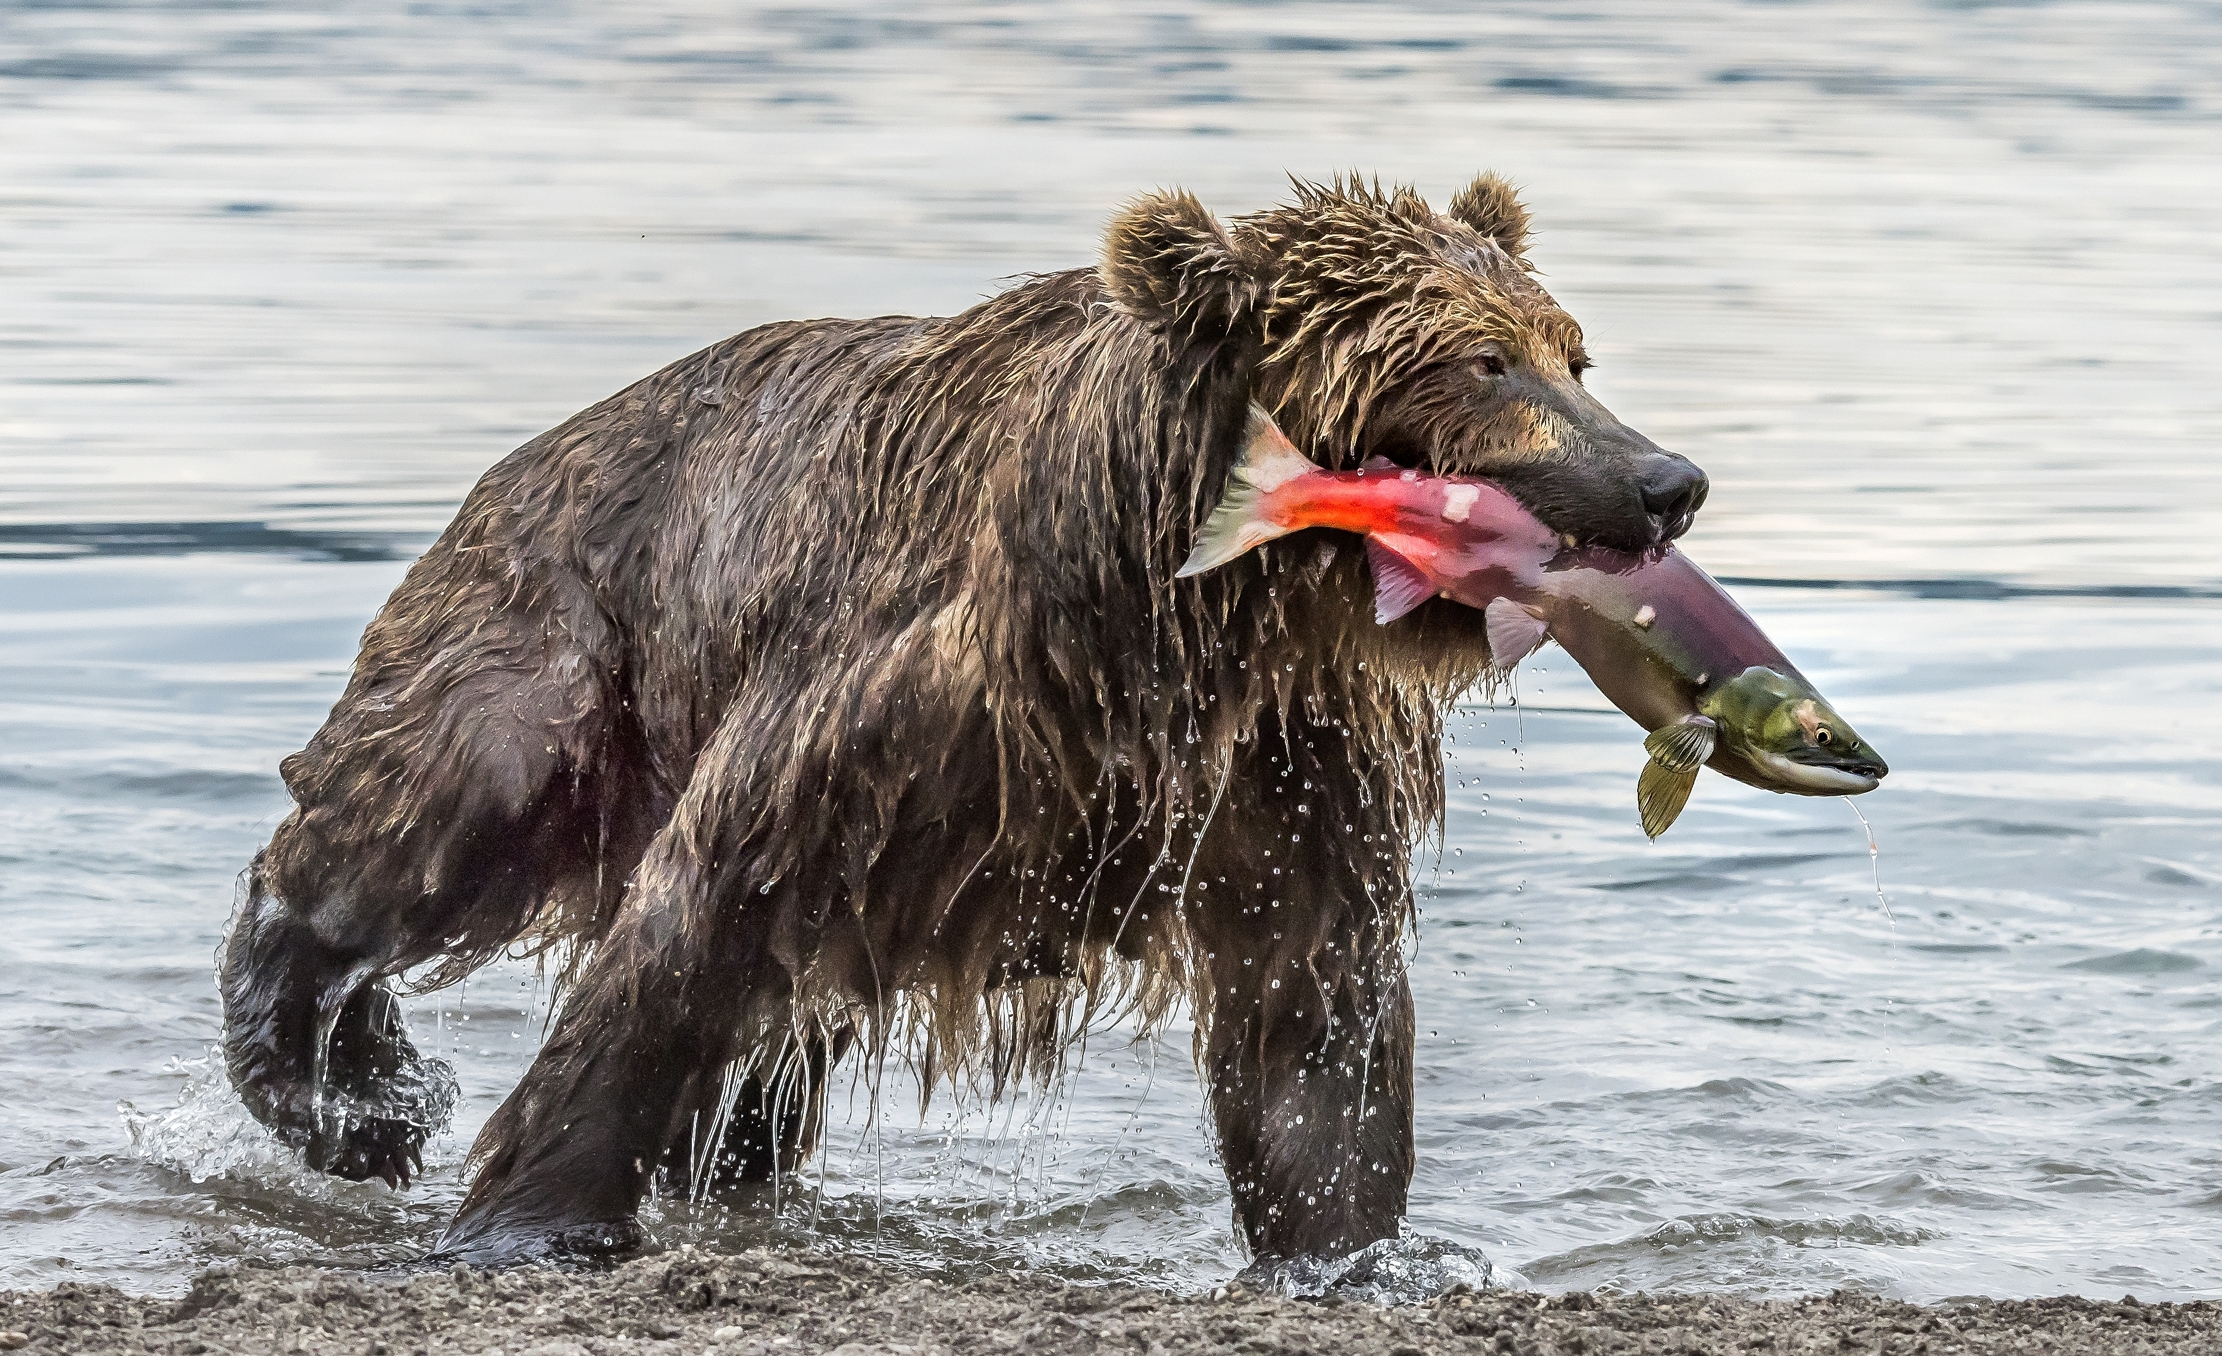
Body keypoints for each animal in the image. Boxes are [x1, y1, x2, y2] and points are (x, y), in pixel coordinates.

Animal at [218, 174, 1707, 1267]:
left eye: (1572, 353)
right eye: (1480, 359)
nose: (1663, 481)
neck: (1181, 615)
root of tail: (527, 454)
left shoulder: (1278, 765)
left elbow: (1313, 1017)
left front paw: (1346, 1251)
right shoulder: (889, 715)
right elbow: (679, 939)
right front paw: (525, 1222)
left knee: (758, 1063)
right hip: (565, 644)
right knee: (418, 818)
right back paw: (347, 1086)